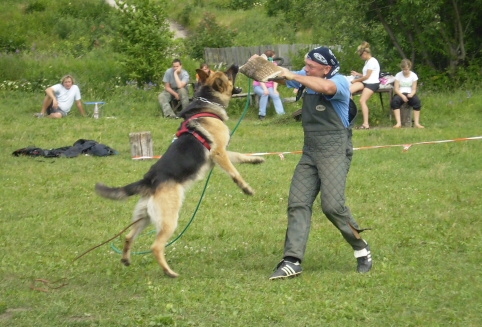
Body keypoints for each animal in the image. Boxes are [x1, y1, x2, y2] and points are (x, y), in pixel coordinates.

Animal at [94, 64, 266, 276]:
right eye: (228, 74)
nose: (235, 65)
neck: (207, 102)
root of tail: (149, 180)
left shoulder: (221, 153)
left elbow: (240, 156)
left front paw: (256, 159)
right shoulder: (218, 153)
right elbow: (235, 172)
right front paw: (246, 188)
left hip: (145, 218)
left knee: (128, 237)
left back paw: (126, 259)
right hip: (169, 220)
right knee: (155, 246)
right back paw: (169, 272)